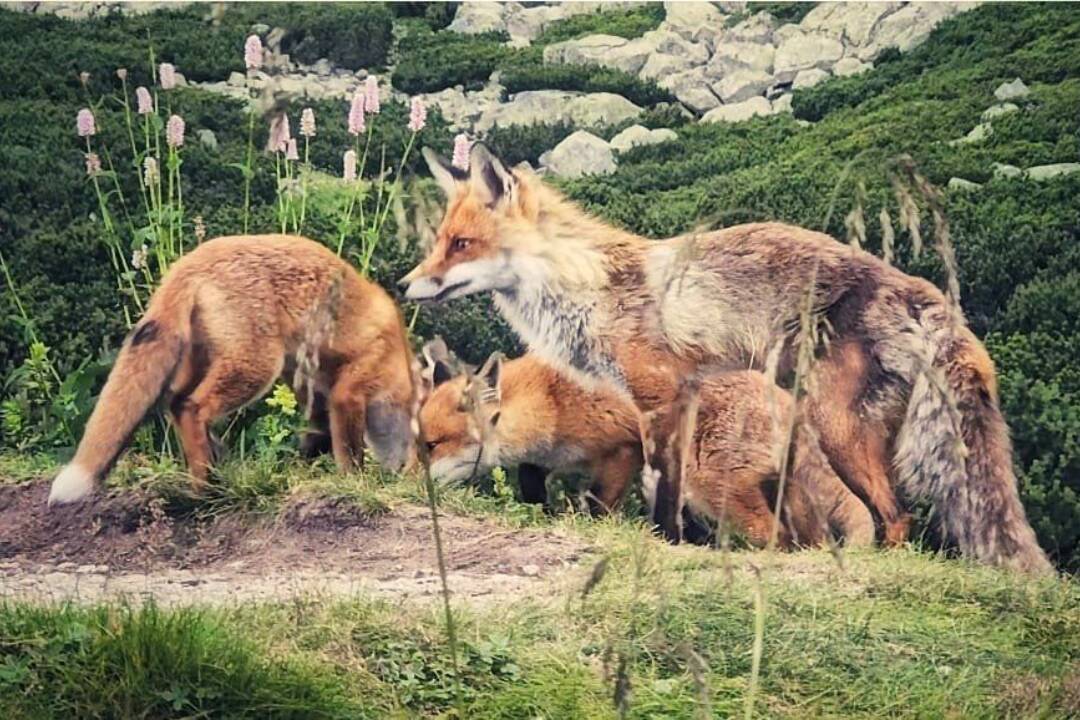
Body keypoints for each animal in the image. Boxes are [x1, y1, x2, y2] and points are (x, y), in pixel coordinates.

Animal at [48, 234, 414, 505]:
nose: (403, 475)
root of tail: (188, 262)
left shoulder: (309, 383)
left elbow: (318, 433)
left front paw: (303, 464)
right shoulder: (348, 393)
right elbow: (350, 450)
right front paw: (356, 484)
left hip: (204, 363)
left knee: (173, 402)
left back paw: (209, 470)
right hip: (256, 367)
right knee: (191, 406)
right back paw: (207, 488)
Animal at [416, 351, 872, 548]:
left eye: (433, 445)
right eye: (420, 444)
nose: (408, 486)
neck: (553, 399)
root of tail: (788, 401)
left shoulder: (624, 450)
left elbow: (600, 506)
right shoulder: (545, 460)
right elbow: (533, 486)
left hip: (712, 485)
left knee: (774, 535)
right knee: (811, 538)